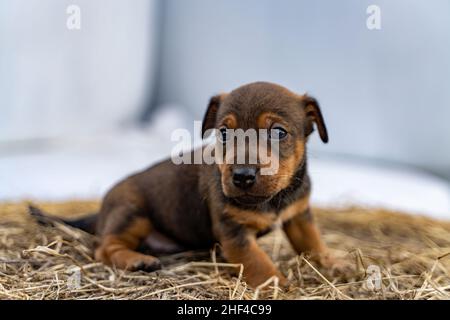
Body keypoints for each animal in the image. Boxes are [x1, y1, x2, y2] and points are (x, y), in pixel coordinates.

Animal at [51, 82, 342, 288]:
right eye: (224, 133)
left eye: (279, 132)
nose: (242, 176)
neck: (273, 200)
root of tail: (101, 210)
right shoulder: (234, 232)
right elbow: (258, 262)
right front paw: (276, 284)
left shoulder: (299, 215)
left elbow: (313, 241)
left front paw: (332, 264)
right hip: (132, 213)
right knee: (104, 247)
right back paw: (137, 260)